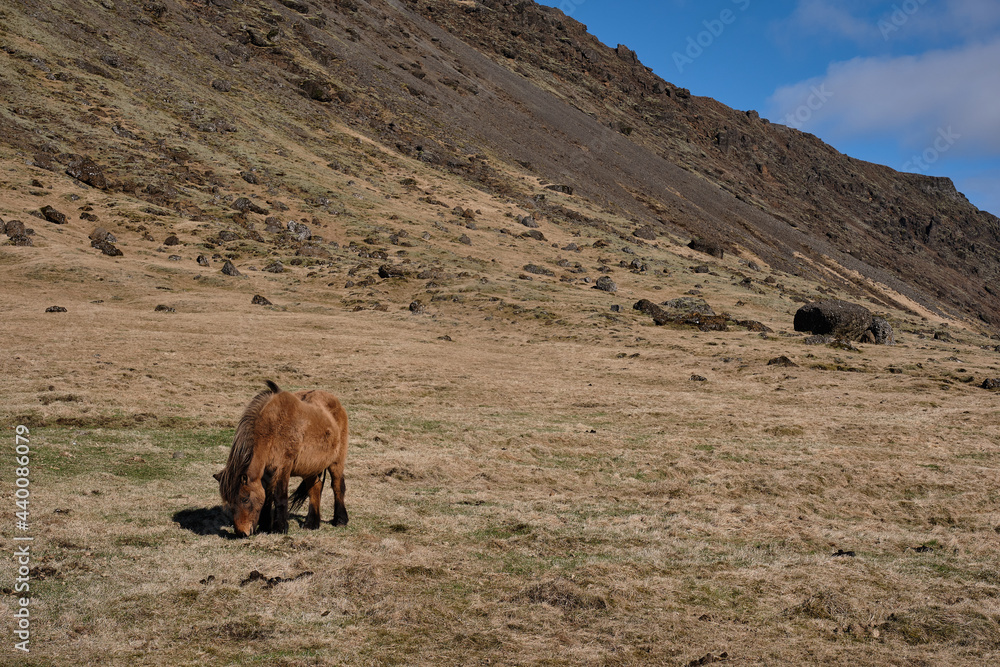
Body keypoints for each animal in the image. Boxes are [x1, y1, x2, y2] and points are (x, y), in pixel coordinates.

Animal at [214, 381, 349, 537]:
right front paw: (265, 526)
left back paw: (340, 520)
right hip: (310, 467)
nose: (242, 533)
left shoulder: (282, 468)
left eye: (245, 498)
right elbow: (266, 498)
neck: (271, 428)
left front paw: (279, 528)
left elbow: (279, 497)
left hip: (336, 462)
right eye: (229, 502)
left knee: (337, 486)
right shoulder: (266, 474)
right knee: (315, 487)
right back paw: (312, 523)